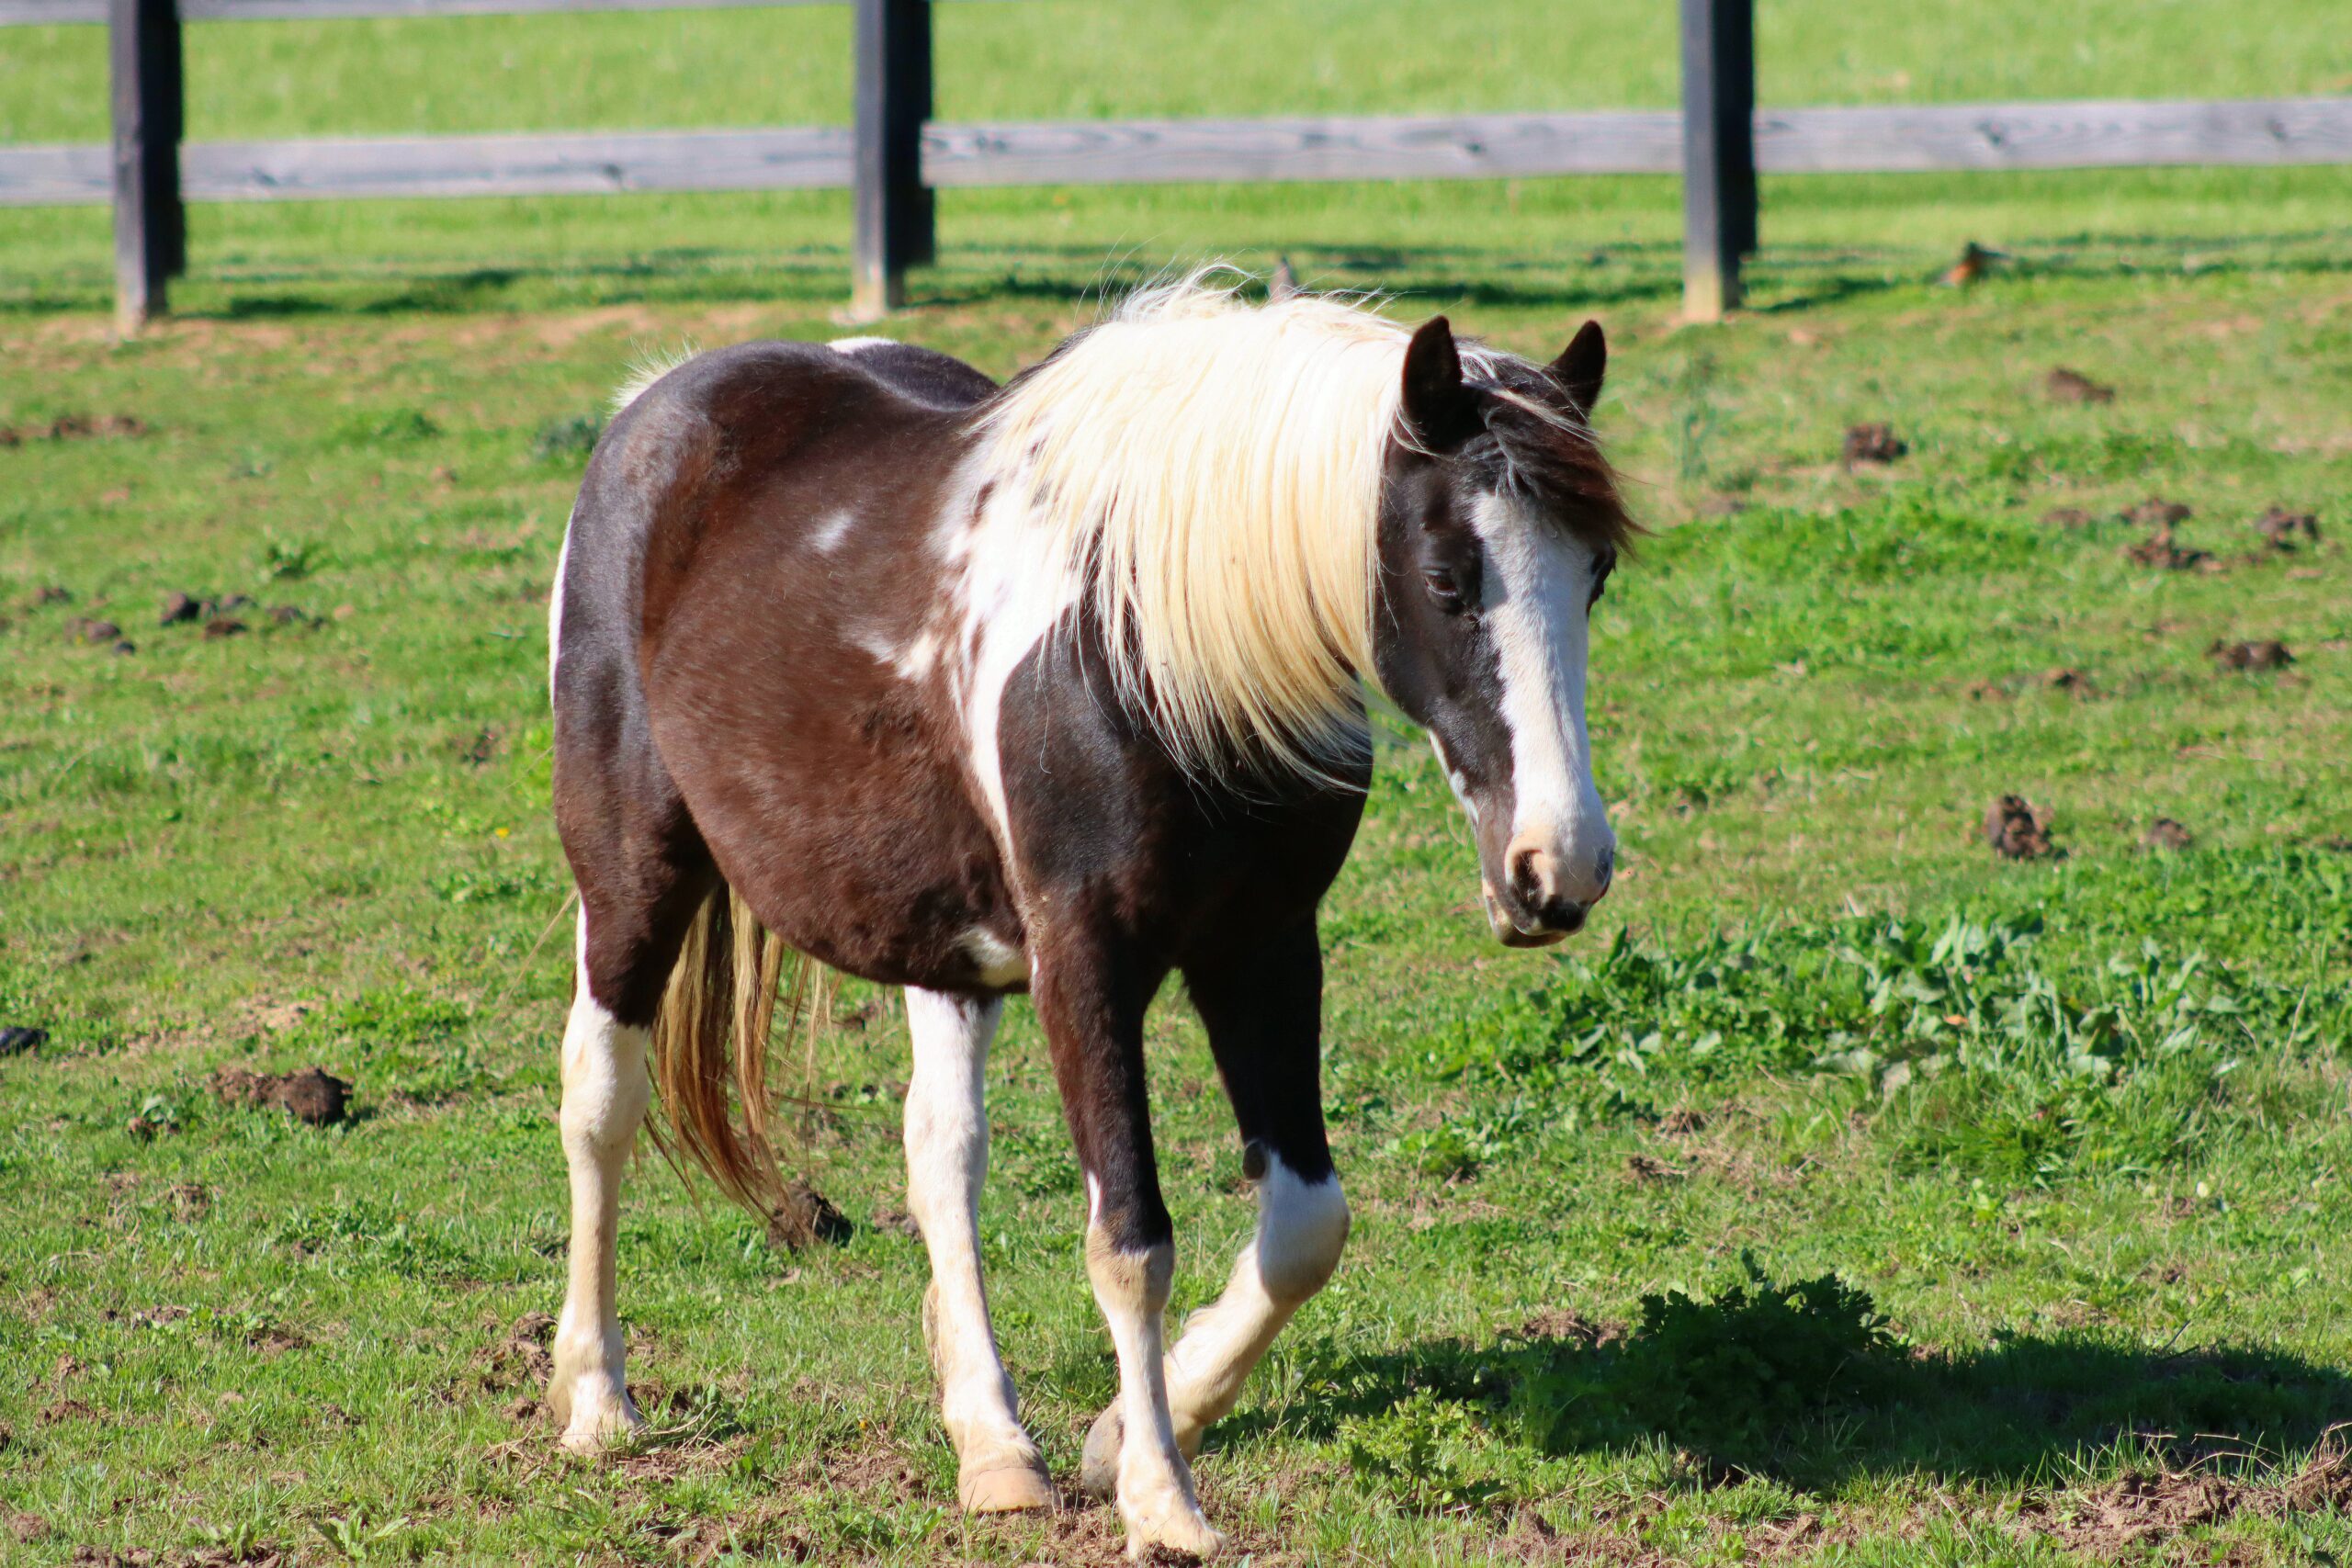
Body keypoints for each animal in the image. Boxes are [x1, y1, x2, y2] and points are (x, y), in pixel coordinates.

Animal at [545, 275, 1634, 1557]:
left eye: (1595, 574)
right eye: (1449, 576)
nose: (1558, 868)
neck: (1154, 653)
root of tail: (654, 406)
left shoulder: (1265, 947)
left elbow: (1305, 1225)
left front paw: (1125, 1432)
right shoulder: (1086, 960)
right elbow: (1130, 1242)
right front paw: (1163, 1498)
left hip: (944, 948)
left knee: (939, 1157)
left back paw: (992, 1445)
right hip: (631, 877)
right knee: (600, 1102)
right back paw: (597, 1398)